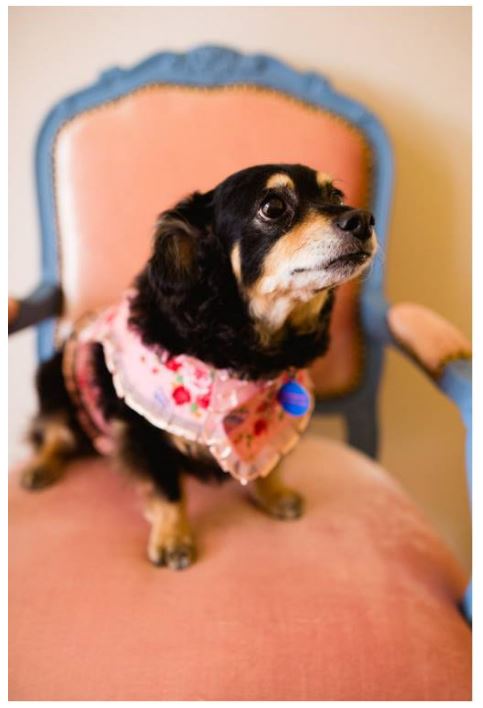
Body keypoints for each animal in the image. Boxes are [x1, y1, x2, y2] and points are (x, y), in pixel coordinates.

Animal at [21, 165, 378, 568]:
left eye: (336, 195)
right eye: (272, 207)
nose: (363, 219)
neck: (238, 355)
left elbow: (269, 463)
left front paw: (274, 493)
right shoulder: (143, 430)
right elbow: (168, 490)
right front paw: (172, 539)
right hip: (51, 380)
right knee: (54, 434)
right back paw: (40, 467)